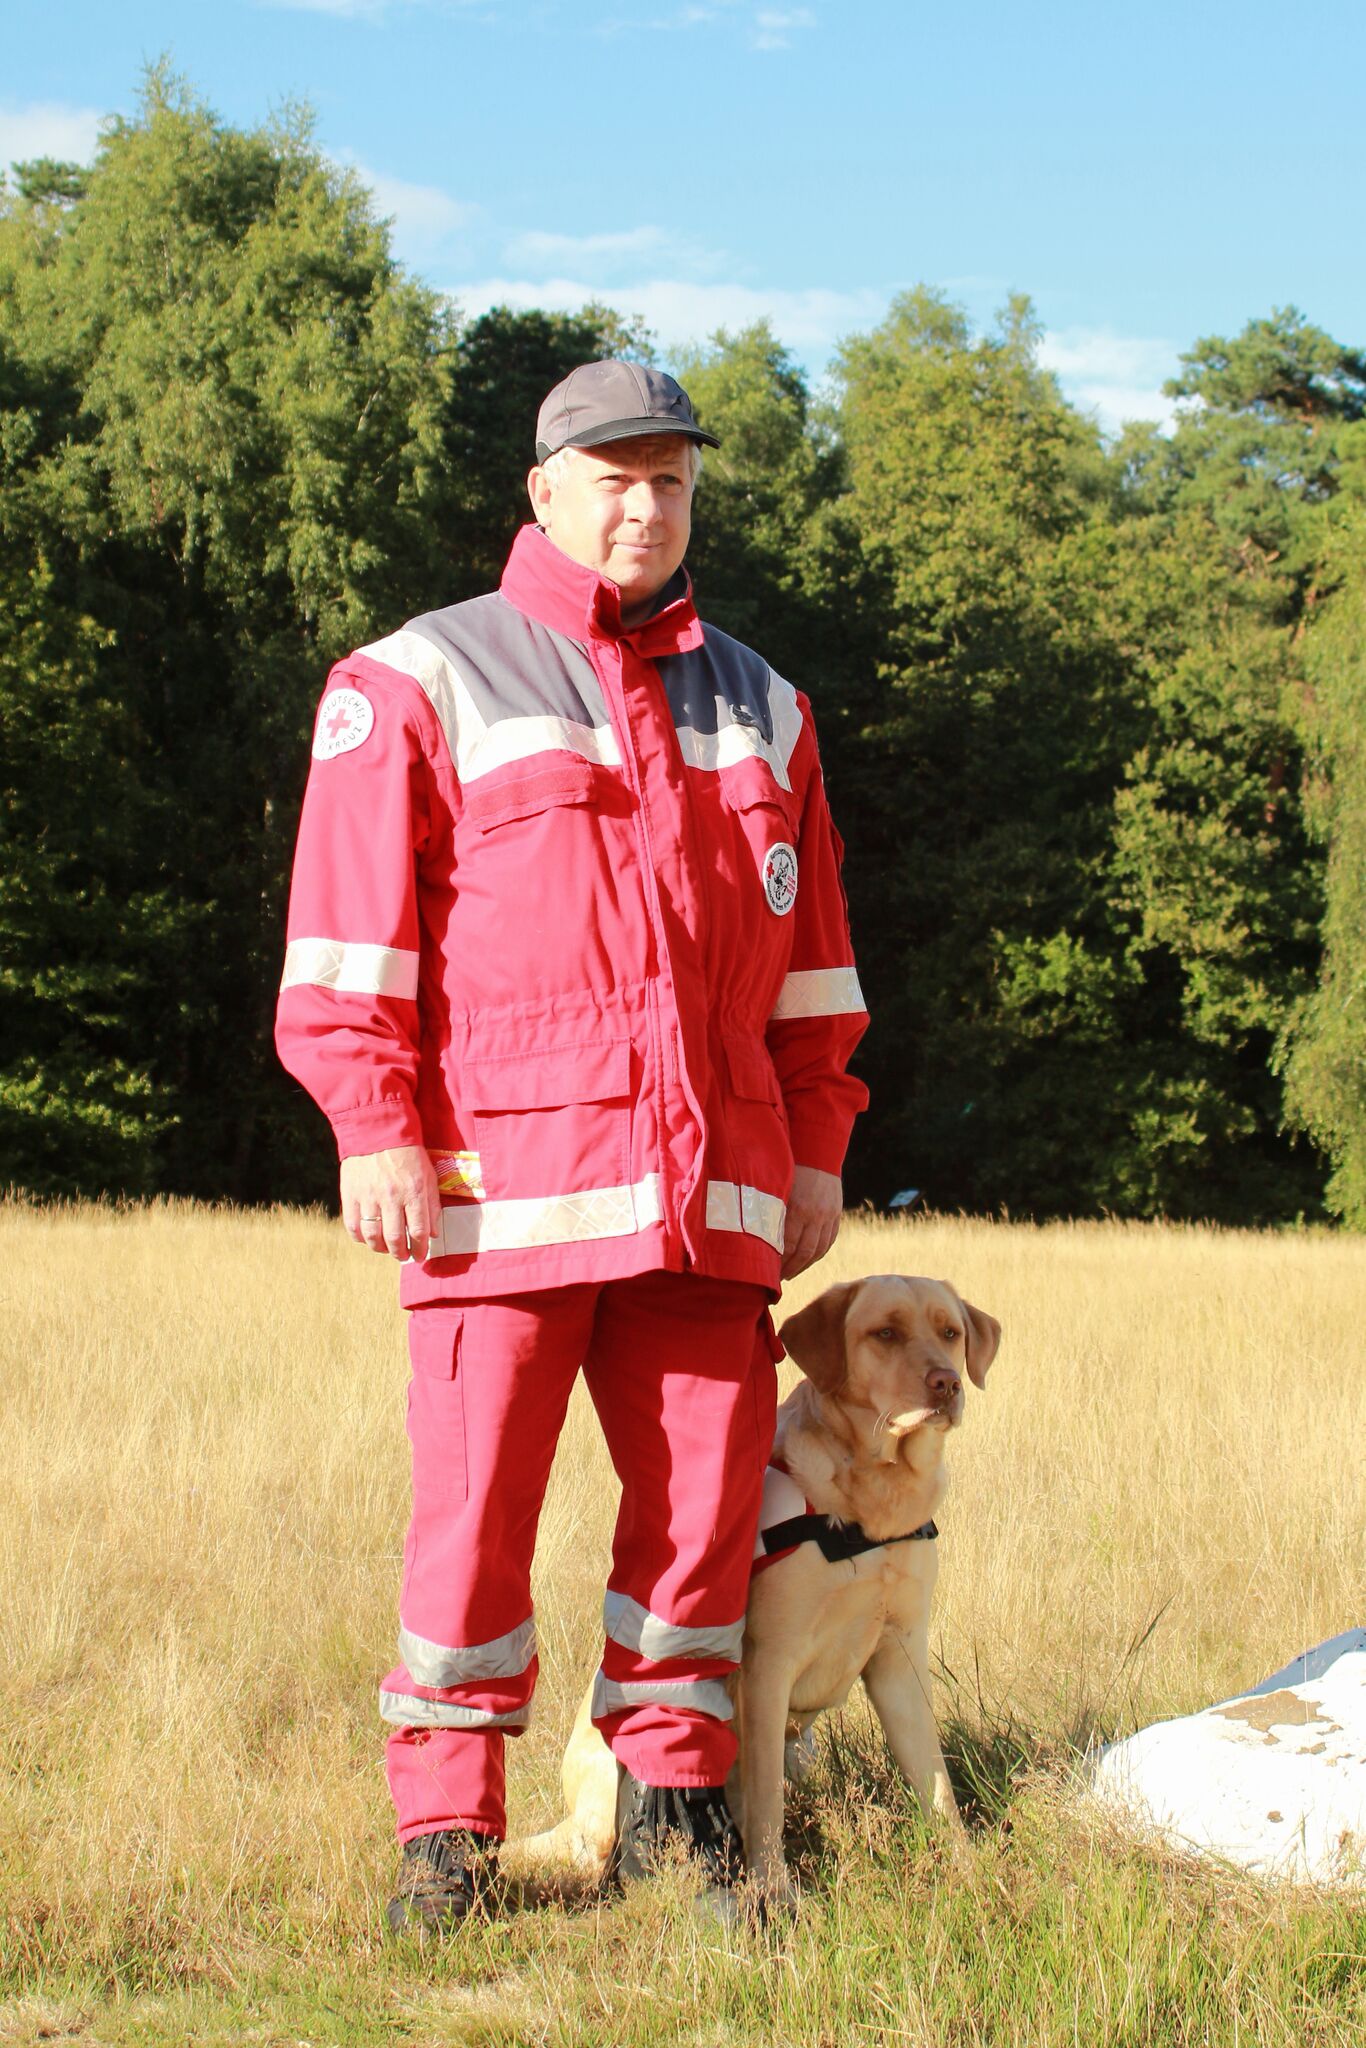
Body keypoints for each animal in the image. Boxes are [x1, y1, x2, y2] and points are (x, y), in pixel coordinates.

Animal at [507, 1269, 999, 1908]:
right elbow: (766, 1804)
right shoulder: (769, 1666)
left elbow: (934, 1781)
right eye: (885, 1333)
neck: (873, 1501)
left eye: (950, 1332)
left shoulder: (900, 1658)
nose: (946, 1383)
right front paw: (776, 1895)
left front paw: (969, 1872)